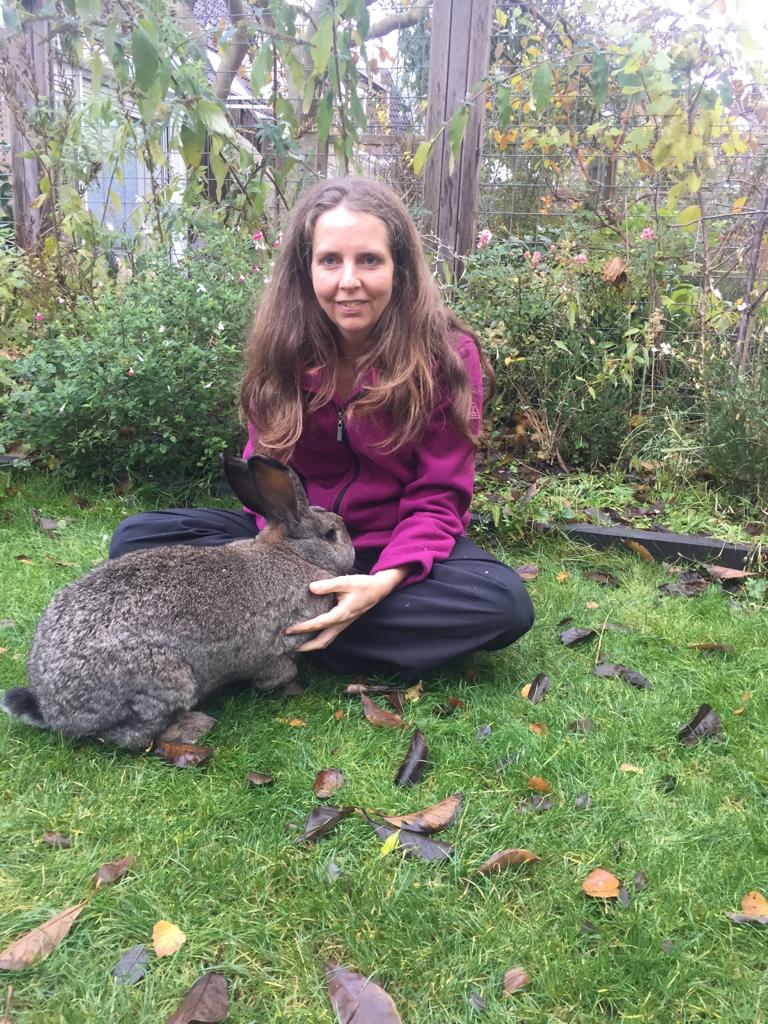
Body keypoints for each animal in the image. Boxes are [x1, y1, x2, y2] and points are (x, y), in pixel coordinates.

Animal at [1, 456, 356, 753]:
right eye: (331, 534)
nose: (353, 551)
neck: (297, 554)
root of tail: (53, 710)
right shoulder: (276, 651)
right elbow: (280, 673)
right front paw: (291, 689)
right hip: (164, 678)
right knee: (131, 737)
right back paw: (196, 725)